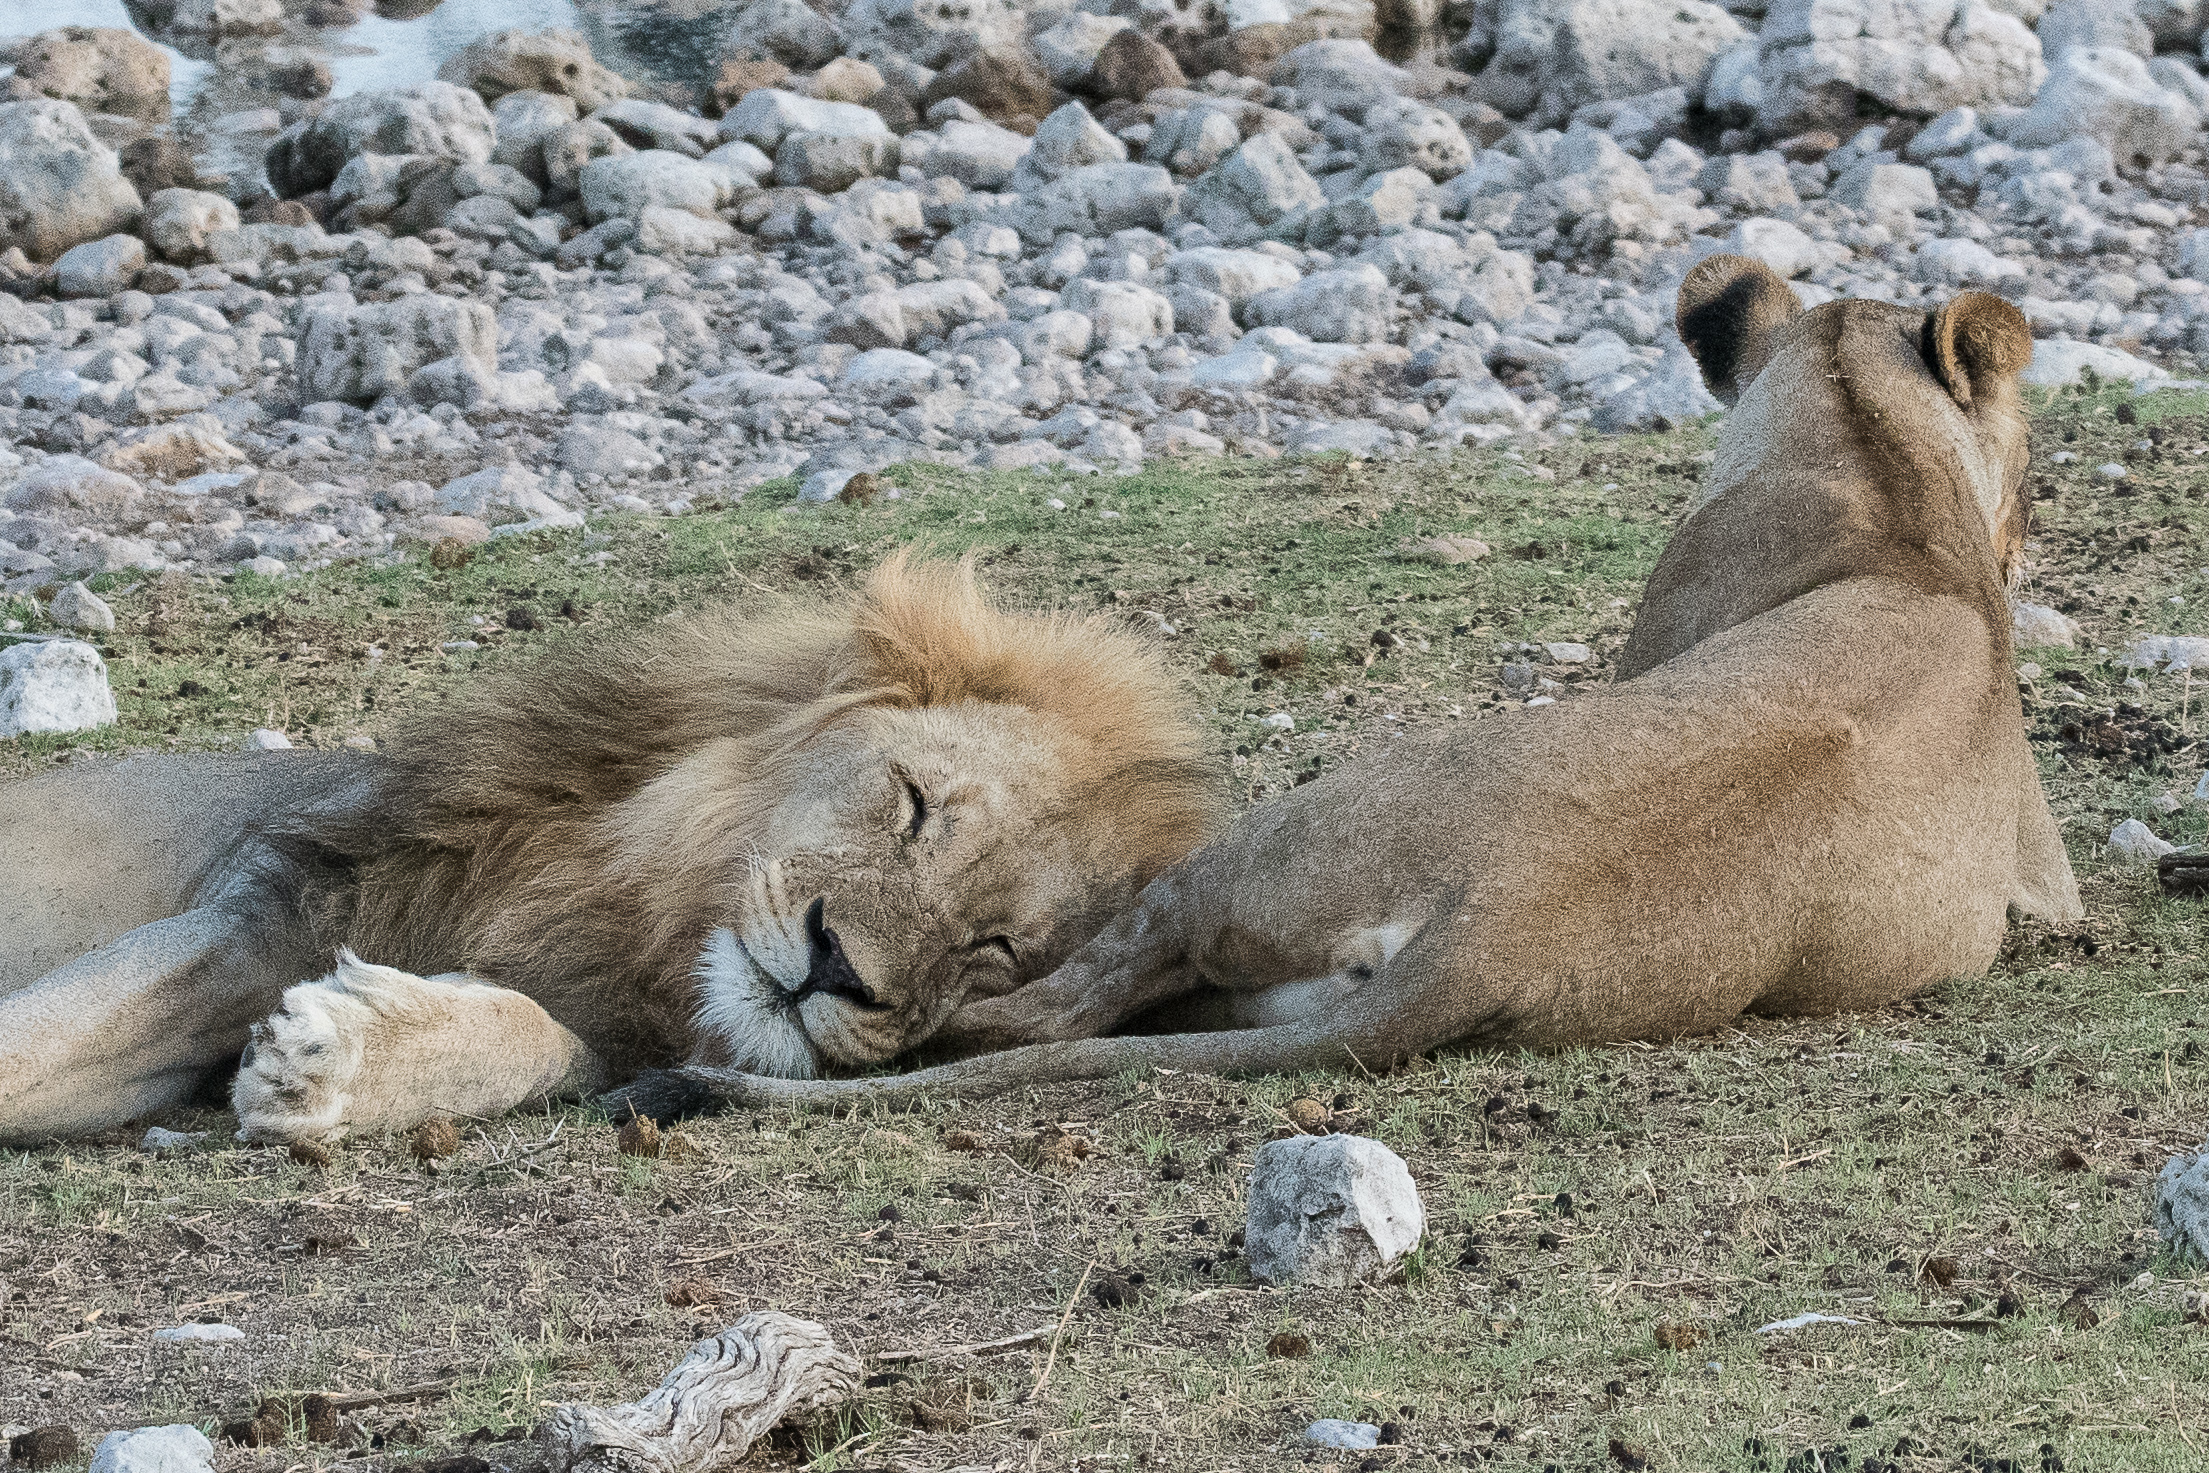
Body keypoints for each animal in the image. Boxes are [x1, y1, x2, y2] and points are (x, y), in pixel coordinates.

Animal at [0, 558, 1228, 1148]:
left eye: (994, 948)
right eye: (914, 804)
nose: (837, 967)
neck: (630, 903)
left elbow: (532, 1038)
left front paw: (336, 1060)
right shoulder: (270, 902)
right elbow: (39, 1045)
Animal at [627, 261, 2085, 1117]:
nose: (2032, 540)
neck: (1881, 480)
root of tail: (1488, 929)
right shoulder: (2042, 879)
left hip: (1240, 857)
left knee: (1039, 1007)